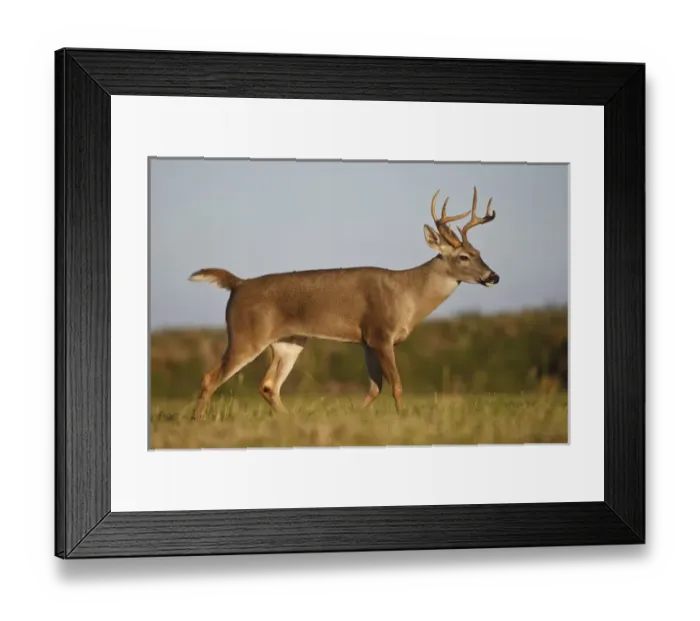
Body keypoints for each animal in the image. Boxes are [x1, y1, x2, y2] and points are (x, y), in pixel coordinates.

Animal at [188, 186, 500, 420]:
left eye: (479, 252)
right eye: (463, 256)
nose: (493, 276)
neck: (407, 294)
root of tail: (238, 284)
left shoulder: (366, 341)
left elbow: (375, 386)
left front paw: (357, 416)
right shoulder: (379, 333)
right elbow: (396, 384)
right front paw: (402, 417)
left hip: (289, 341)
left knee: (268, 386)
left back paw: (289, 419)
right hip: (246, 334)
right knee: (209, 378)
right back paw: (198, 421)